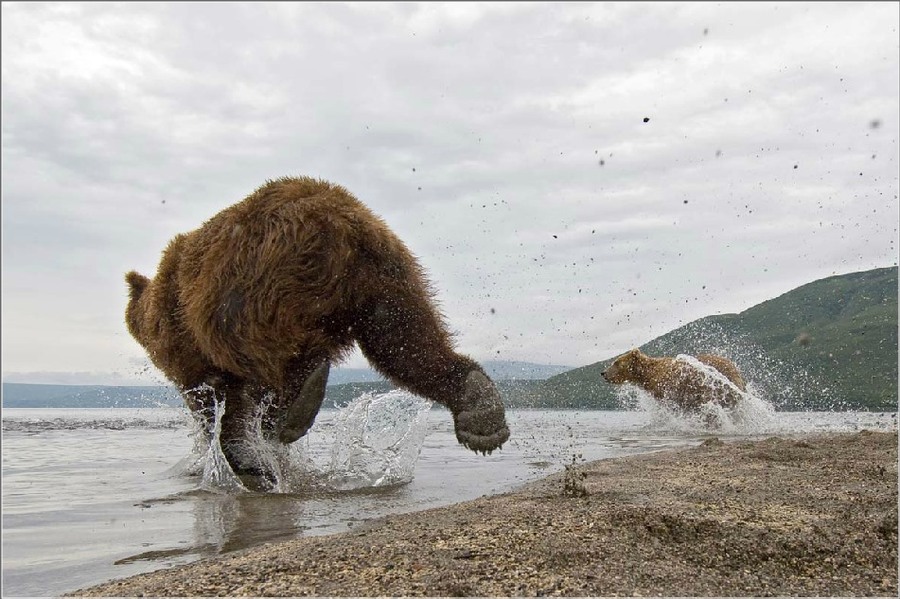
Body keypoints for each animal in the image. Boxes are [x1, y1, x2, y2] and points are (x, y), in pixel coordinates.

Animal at [124, 176, 510, 476]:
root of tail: (337, 220)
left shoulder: (185, 343)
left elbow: (209, 399)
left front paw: (237, 451)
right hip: (386, 277)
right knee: (405, 343)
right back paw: (480, 411)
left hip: (255, 284)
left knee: (265, 357)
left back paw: (289, 412)